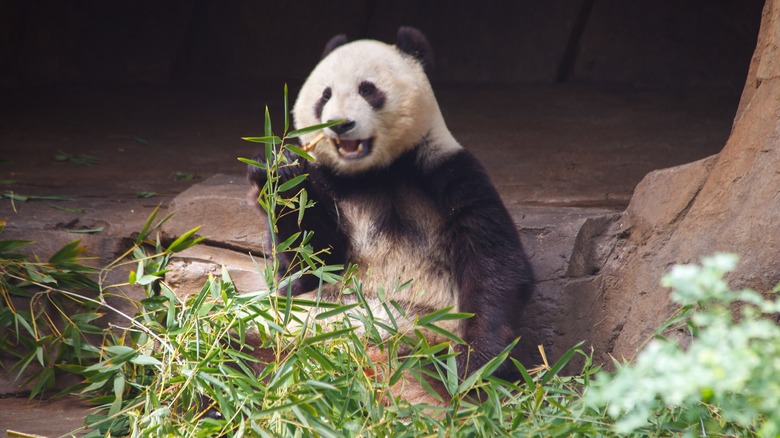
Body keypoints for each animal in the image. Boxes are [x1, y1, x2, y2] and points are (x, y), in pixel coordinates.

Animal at [249, 27, 533, 382]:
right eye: (325, 96)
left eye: (368, 89)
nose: (339, 123)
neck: (375, 172)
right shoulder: (329, 183)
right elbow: (310, 260)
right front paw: (277, 170)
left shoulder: (447, 173)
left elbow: (493, 261)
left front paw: (480, 364)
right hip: (274, 333)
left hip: (427, 341)